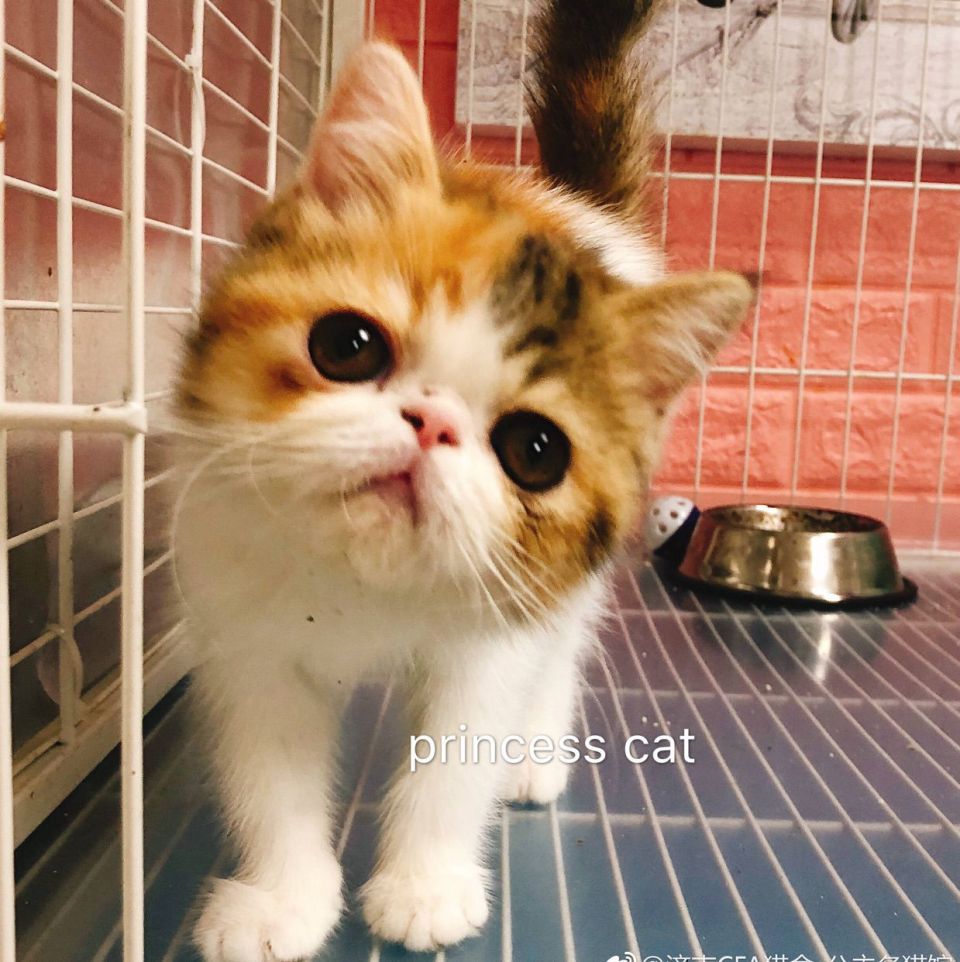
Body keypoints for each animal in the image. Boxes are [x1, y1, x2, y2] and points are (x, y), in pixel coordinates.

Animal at [172, 1, 752, 959]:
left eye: (536, 450)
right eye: (347, 346)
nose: (432, 424)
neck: (363, 585)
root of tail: (570, 201)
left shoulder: (491, 644)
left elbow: (453, 763)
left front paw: (425, 886)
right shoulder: (247, 638)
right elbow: (271, 775)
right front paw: (282, 902)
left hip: (568, 577)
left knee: (564, 644)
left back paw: (533, 755)